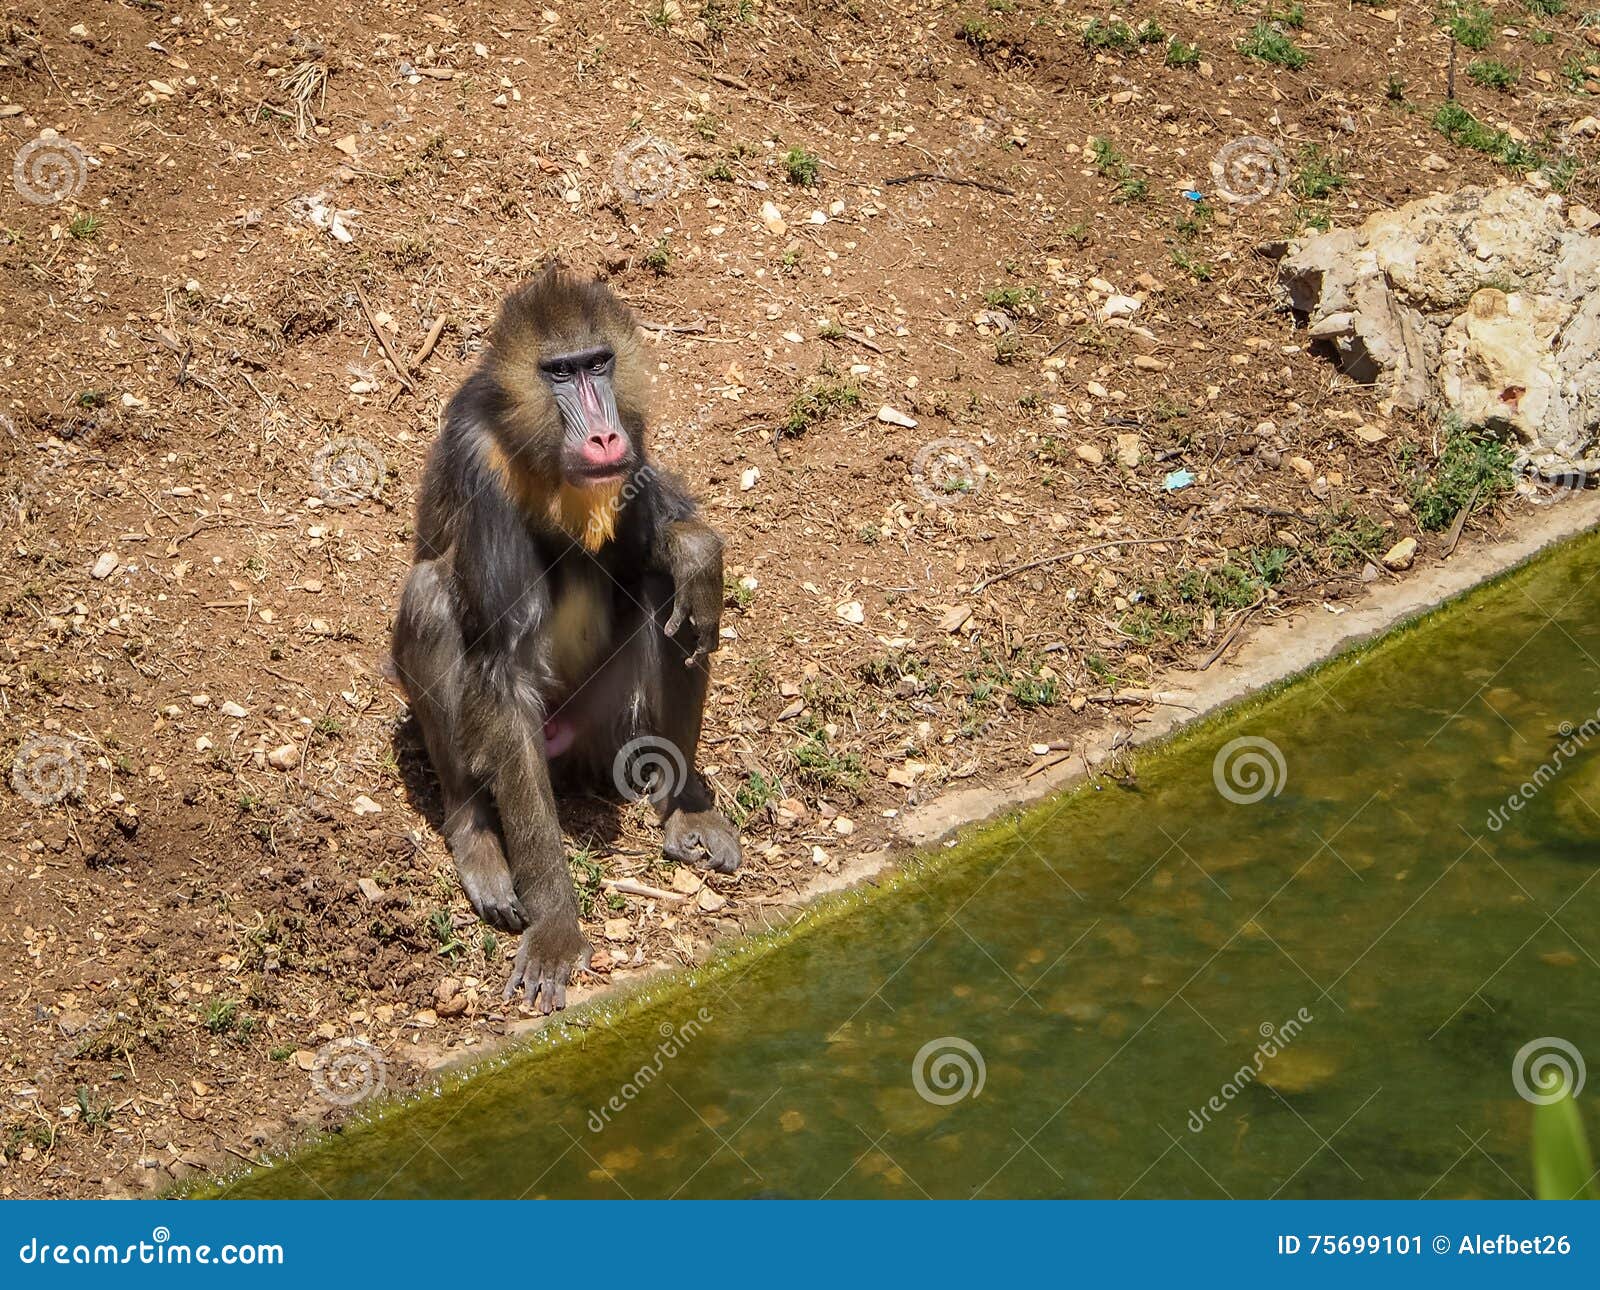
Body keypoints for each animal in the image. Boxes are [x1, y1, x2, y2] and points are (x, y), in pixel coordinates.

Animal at [390, 266, 740, 1014]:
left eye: (597, 364)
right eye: (559, 372)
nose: (604, 439)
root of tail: (569, 744)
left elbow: (656, 555)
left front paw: (695, 549)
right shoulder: (479, 464)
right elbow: (504, 670)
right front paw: (556, 928)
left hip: (608, 721)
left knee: (669, 597)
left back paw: (683, 806)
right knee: (430, 596)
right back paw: (478, 842)